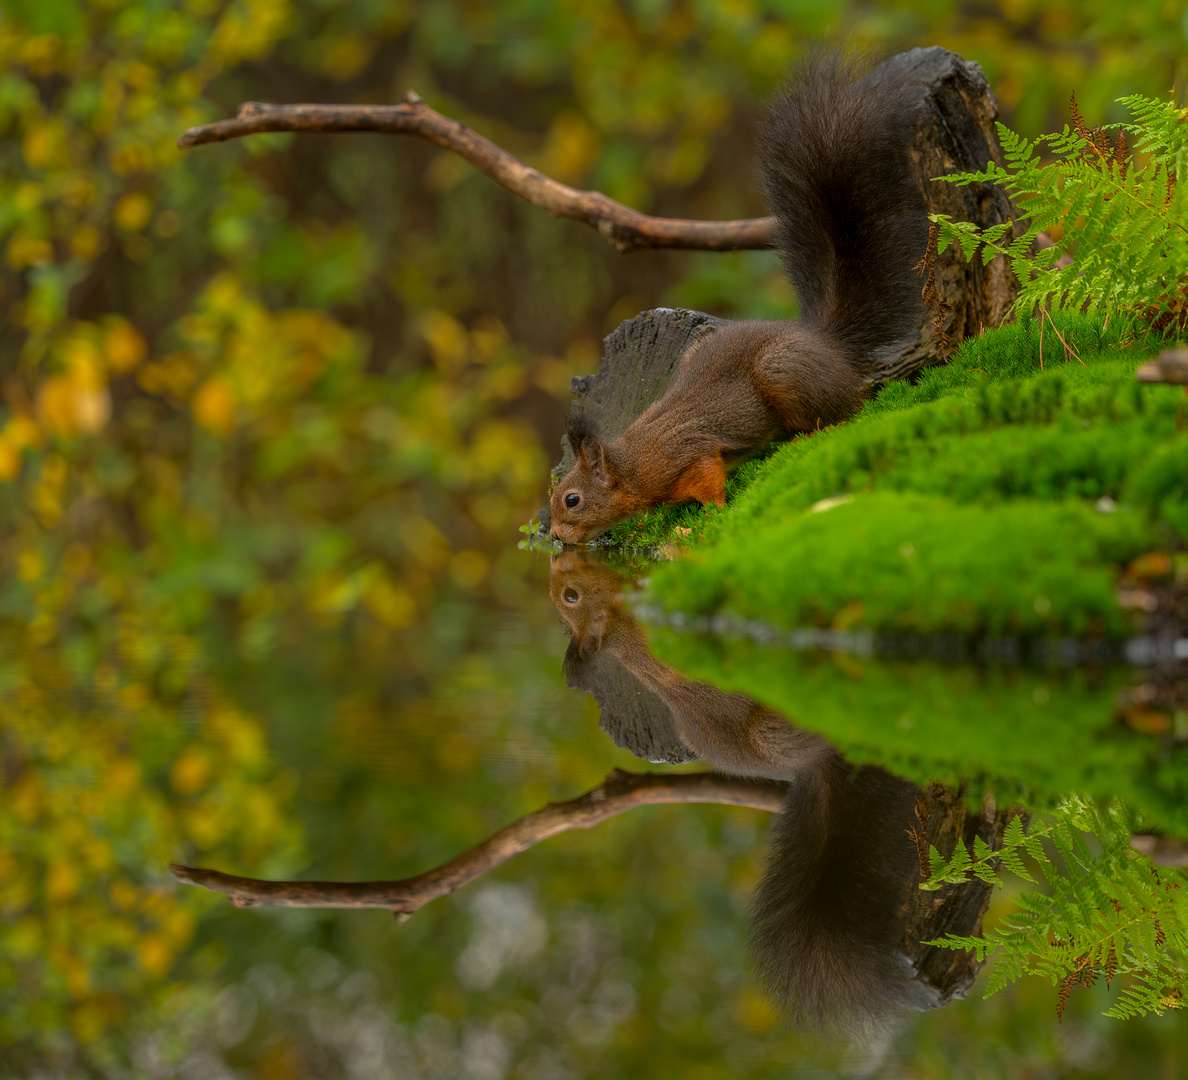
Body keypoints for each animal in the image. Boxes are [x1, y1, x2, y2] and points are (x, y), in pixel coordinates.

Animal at [546, 49, 926, 539]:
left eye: (571, 500)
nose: (556, 536)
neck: (632, 465)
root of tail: (825, 344)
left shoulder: (692, 457)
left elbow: (711, 484)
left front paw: (700, 523)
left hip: (782, 370)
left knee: (844, 412)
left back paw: (809, 432)